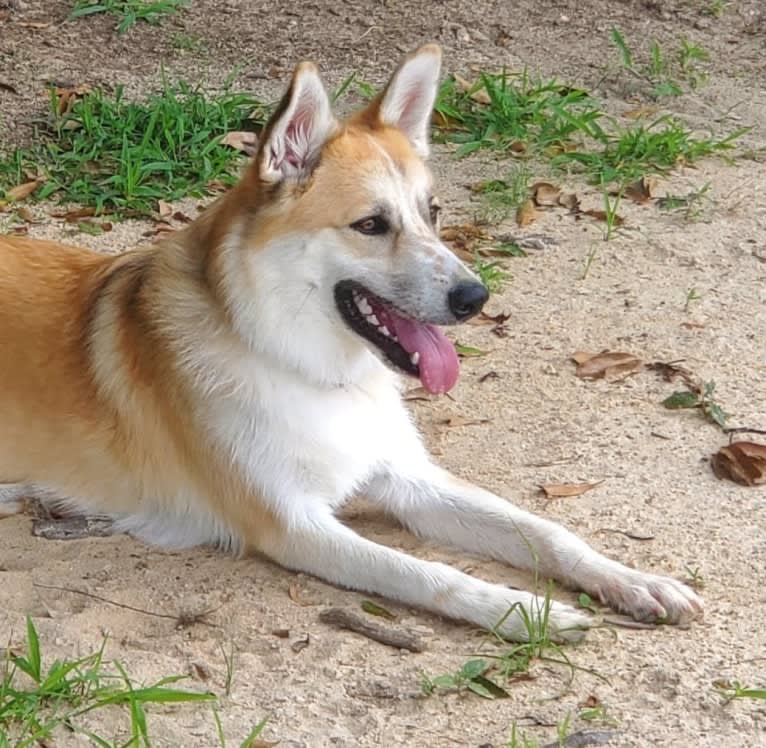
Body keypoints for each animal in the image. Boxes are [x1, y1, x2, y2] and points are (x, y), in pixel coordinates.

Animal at [0, 43, 704, 640]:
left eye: (432, 213)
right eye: (370, 225)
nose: (476, 298)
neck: (300, 364)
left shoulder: (407, 480)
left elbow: (546, 532)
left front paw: (633, 580)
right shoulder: (296, 526)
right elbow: (429, 573)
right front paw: (523, 610)